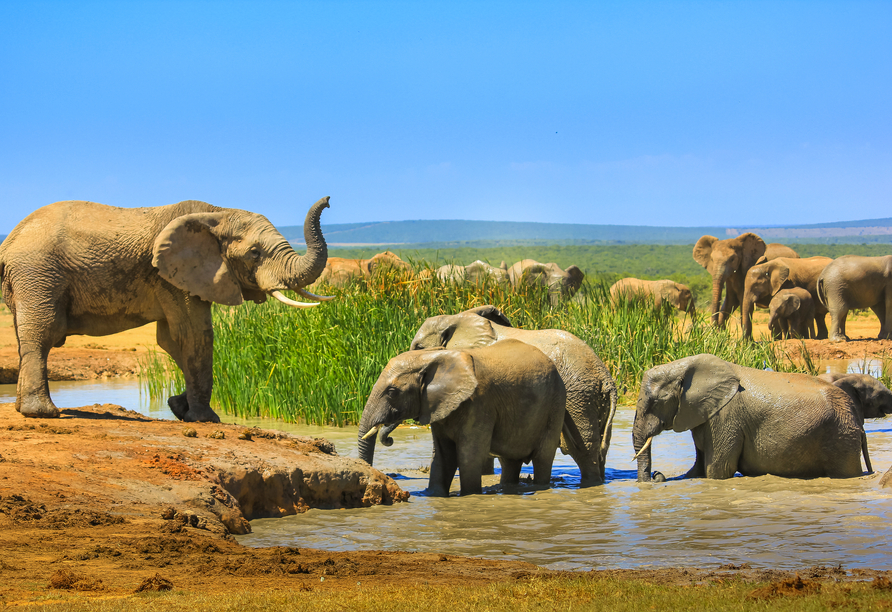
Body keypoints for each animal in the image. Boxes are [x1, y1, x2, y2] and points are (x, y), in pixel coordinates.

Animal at [0, 196, 334, 420]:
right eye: (255, 253)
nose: (329, 201)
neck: (217, 213)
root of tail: (10, 240)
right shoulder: (174, 276)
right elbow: (195, 335)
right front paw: (206, 419)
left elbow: (172, 341)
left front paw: (178, 407)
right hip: (38, 273)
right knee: (43, 333)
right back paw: (42, 413)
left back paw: (23, 408)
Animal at [356, 340, 564, 498]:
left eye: (392, 392)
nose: (389, 439)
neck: (432, 357)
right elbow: (443, 456)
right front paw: (433, 495)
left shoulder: (479, 403)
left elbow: (468, 455)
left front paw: (469, 495)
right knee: (510, 461)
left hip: (555, 406)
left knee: (543, 457)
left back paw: (539, 487)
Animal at [408, 304, 616, 482]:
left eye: (419, 347)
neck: (457, 319)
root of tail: (605, 377)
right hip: (594, 400)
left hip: (578, 398)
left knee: (583, 448)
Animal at [632, 354, 868, 482]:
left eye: (657, 401)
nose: (657, 474)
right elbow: (698, 469)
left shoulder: (725, 417)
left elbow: (717, 470)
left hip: (841, 436)